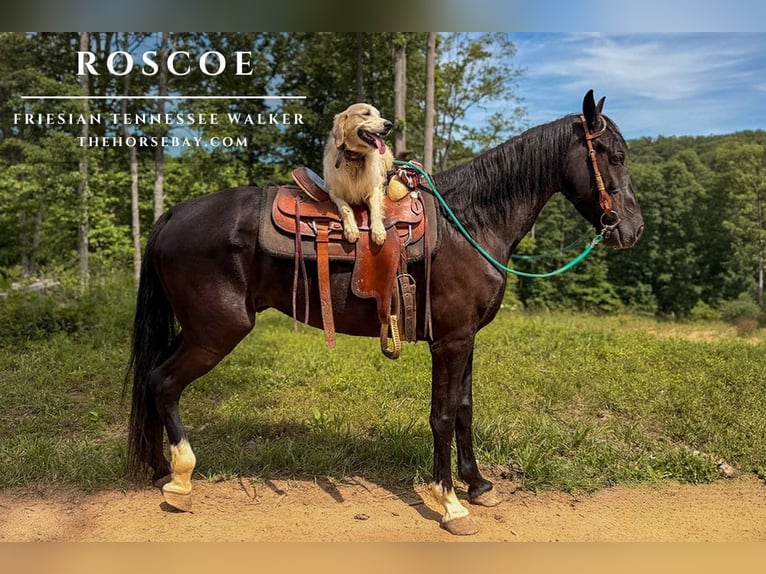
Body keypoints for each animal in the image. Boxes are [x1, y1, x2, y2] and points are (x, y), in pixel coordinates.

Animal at [126, 90, 644, 536]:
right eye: (612, 156)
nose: (633, 230)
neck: (469, 223)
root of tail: (173, 215)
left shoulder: (466, 338)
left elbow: (464, 409)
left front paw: (478, 486)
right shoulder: (451, 341)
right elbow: (442, 415)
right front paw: (451, 504)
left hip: (194, 330)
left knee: (152, 379)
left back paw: (161, 469)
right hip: (216, 331)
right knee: (165, 384)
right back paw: (181, 479)